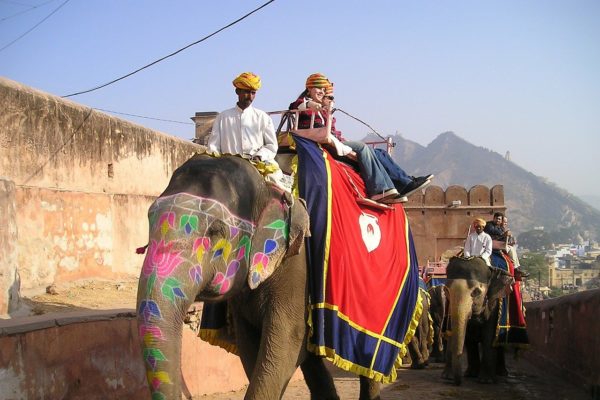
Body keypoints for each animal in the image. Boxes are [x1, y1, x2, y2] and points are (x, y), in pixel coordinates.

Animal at [138, 155, 378, 400]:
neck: (267, 186)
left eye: (216, 231)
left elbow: (287, 339)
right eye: (149, 218)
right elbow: (250, 343)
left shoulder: (297, 265)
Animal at [438, 256, 512, 384]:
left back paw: (501, 373)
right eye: (447, 291)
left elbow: (489, 335)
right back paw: (471, 373)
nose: (458, 383)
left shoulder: (494, 302)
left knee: (498, 341)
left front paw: (486, 380)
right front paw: (447, 376)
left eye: (476, 292)